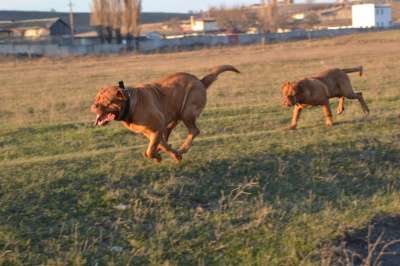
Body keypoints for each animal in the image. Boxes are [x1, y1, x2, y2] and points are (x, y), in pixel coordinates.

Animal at [90, 65, 239, 163]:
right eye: (96, 98)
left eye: (107, 101)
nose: (93, 106)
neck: (130, 103)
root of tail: (200, 81)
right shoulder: (150, 131)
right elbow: (160, 144)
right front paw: (167, 153)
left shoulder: (156, 127)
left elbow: (151, 149)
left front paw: (162, 155)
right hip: (175, 114)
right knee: (169, 132)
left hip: (187, 112)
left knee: (194, 131)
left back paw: (183, 148)